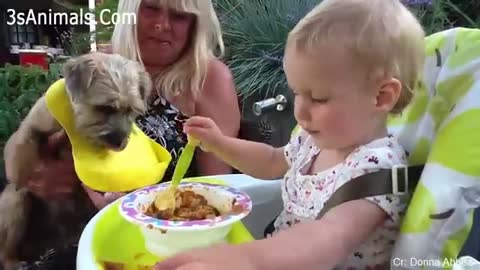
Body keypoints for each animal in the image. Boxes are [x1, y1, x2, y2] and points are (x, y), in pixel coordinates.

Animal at [0, 51, 152, 268]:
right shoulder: (31, 125)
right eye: (105, 108)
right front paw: (19, 175)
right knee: (6, 248)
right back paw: (13, 262)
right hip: (14, 208)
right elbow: (23, 143)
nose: (120, 143)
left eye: (131, 111)